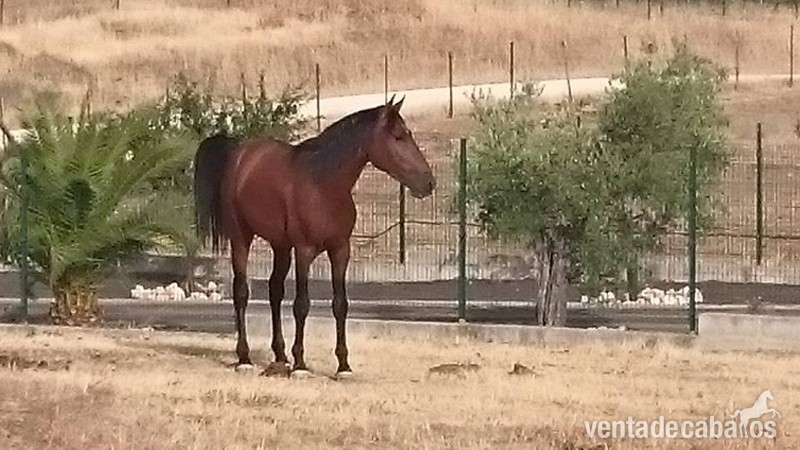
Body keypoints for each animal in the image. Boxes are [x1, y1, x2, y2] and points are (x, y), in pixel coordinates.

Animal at [193, 95, 436, 378]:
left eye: (408, 134)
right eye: (398, 136)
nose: (428, 182)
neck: (323, 184)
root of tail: (239, 153)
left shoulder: (340, 250)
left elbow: (340, 304)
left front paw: (343, 366)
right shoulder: (305, 250)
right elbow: (302, 304)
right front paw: (301, 364)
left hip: (281, 246)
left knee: (275, 291)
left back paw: (280, 356)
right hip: (242, 238)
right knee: (241, 292)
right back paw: (245, 358)